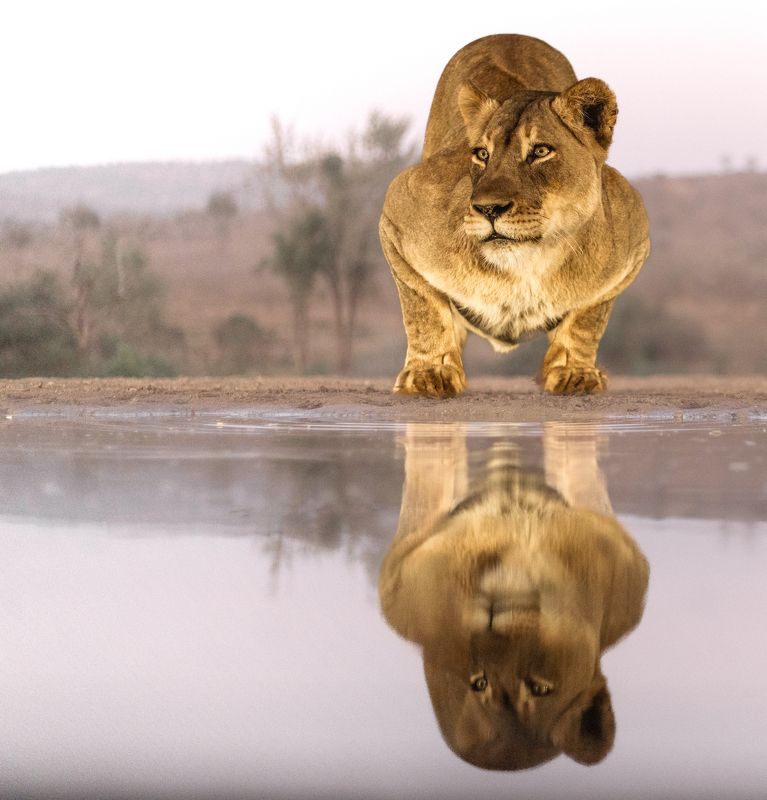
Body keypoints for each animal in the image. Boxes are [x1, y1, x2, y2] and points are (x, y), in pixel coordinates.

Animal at [379, 34, 650, 396]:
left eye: (540, 151)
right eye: (482, 154)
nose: (488, 209)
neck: (526, 261)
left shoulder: (632, 242)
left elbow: (588, 318)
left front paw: (574, 373)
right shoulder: (397, 216)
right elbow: (424, 310)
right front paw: (428, 374)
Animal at [379, 425, 649, 770]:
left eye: (539, 687)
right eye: (480, 683)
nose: (492, 627)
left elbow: (578, 462)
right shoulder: (401, 566)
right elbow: (430, 467)